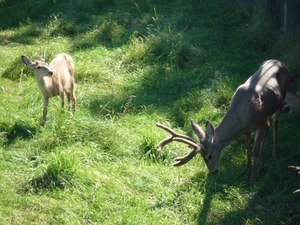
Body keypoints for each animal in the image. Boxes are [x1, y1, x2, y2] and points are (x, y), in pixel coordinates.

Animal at [156, 59, 294, 183]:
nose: (213, 171)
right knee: (269, 124)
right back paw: (262, 158)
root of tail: (280, 62)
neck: (242, 116)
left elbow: (254, 149)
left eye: (209, 156)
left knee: (275, 122)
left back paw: (273, 153)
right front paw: (248, 166)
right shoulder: (247, 129)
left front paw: (253, 177)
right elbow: (248, 147)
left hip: (282, 97)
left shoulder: (259, 122)